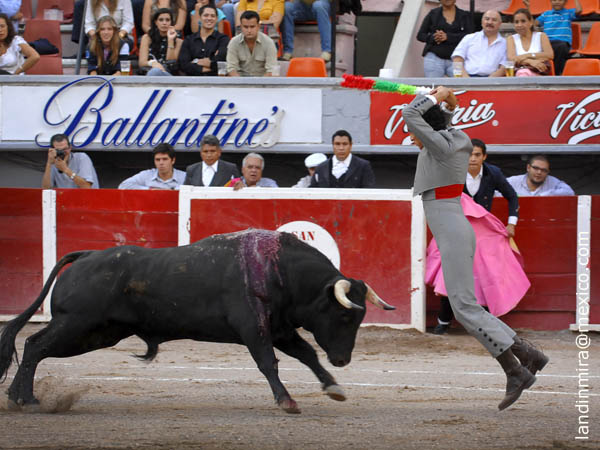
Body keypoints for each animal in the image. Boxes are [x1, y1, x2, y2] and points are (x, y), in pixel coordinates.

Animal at [1, 228, 394, 414]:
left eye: (359, 317)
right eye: (343, 314)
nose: (342, 359)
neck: (280, 269)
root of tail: (86, 255)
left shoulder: (280, 328)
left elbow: (307, 355)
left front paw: (334, 387)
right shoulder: (254, 328)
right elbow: (268, 363)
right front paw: (287, 402)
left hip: (98, 334)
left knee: (35, 347)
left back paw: (19, 397)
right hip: (77, 324)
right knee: (34, 345)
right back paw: (25, 399)